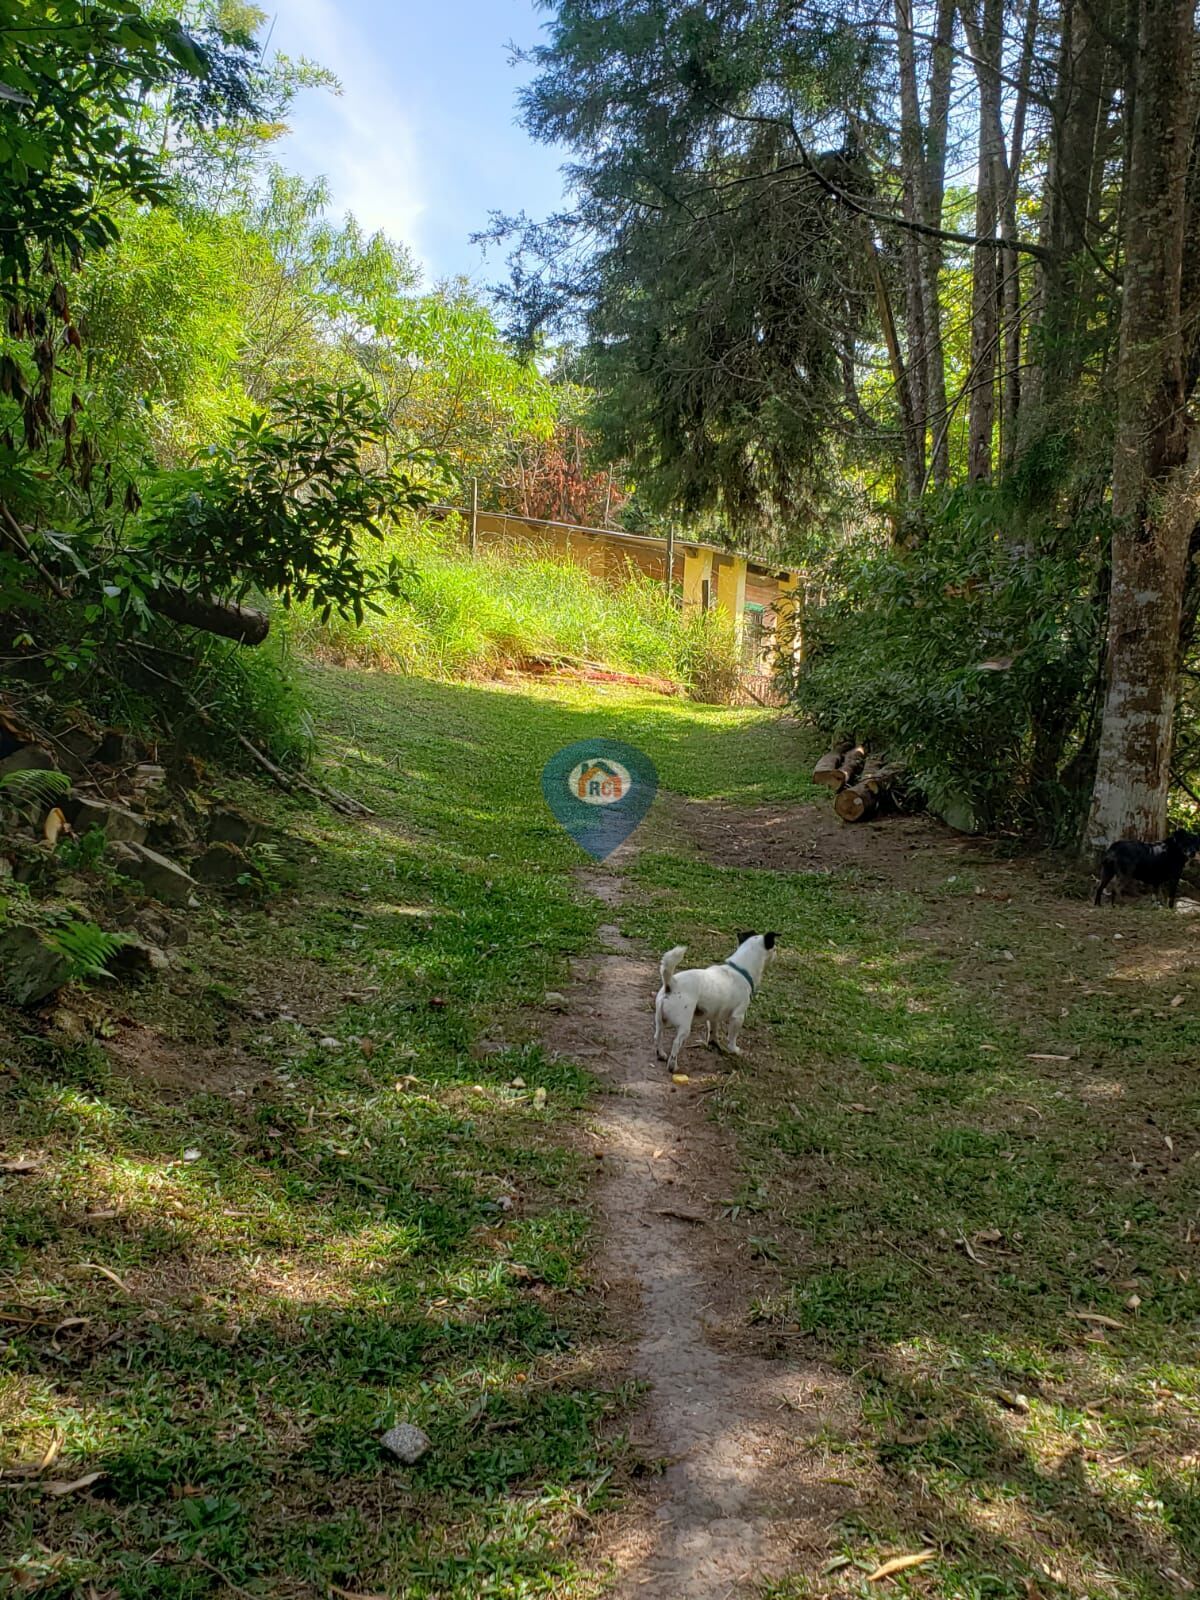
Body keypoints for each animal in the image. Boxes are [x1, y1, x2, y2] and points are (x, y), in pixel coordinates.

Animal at [659, 934, 780, 1068]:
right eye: (774, 948)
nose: (777, 953)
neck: (740, 970)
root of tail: (671, 983)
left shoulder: (713, 1016)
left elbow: (713, 1031)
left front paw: (713, 1044)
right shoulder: (738, 1017)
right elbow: (732, 1039)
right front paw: (735, 1050)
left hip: (660, 1020)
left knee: (657, 1036)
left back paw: (661, 1054)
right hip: (684, 1026)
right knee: (676, 1043)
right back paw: (672, 1066)